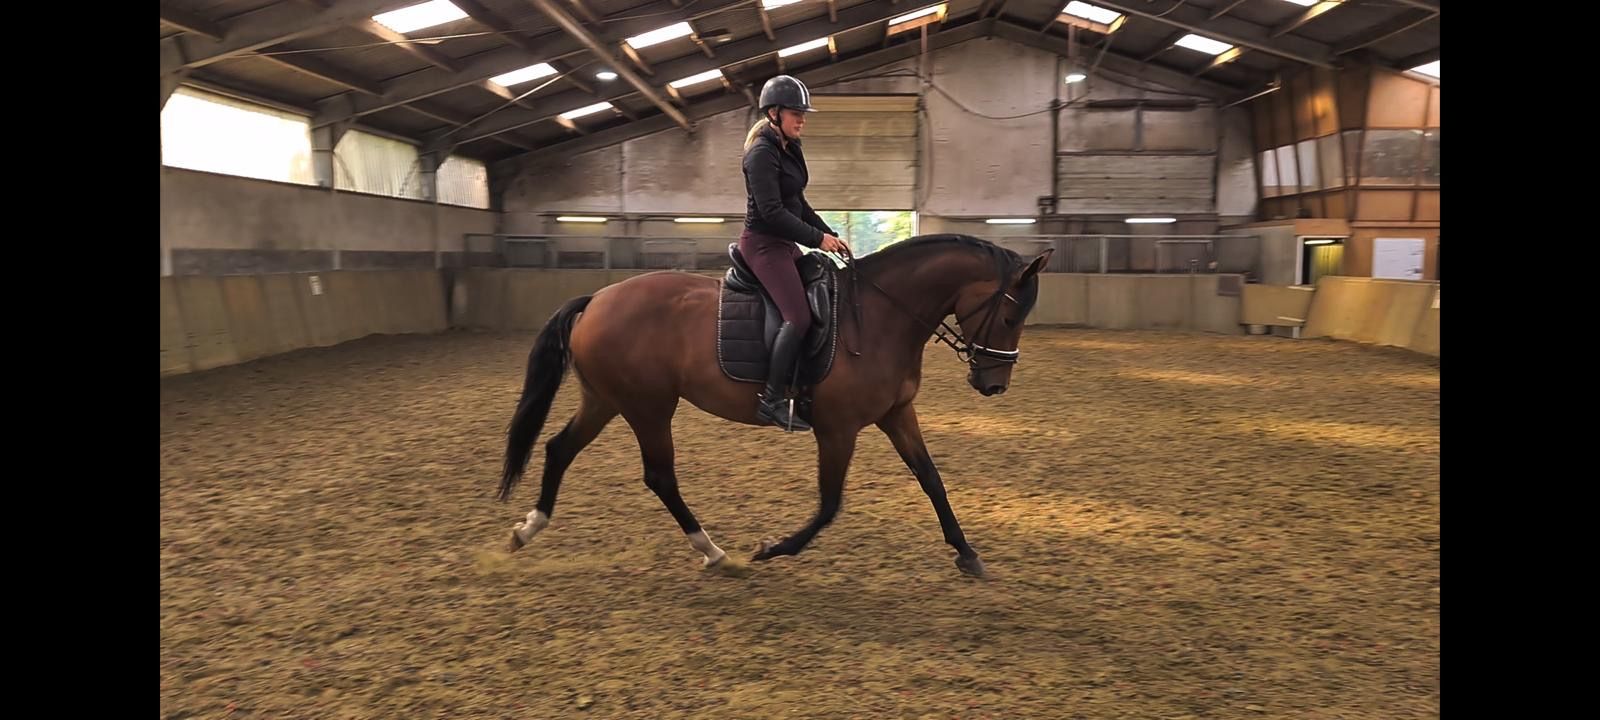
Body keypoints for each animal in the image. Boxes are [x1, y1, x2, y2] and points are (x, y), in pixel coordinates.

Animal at [495, 234, 1053, 577]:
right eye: (1010, 316)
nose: (994, 385)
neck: (879, 316)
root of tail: (597, 299)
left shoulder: (897, 414)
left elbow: (931, 478)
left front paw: (968, 554)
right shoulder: (838, 428)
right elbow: (829, 504)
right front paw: (773, 549)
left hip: (607, 400)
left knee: (559, 449)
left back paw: (527, 530)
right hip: (648, 406)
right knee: (659, 476)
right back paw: (715, 552)